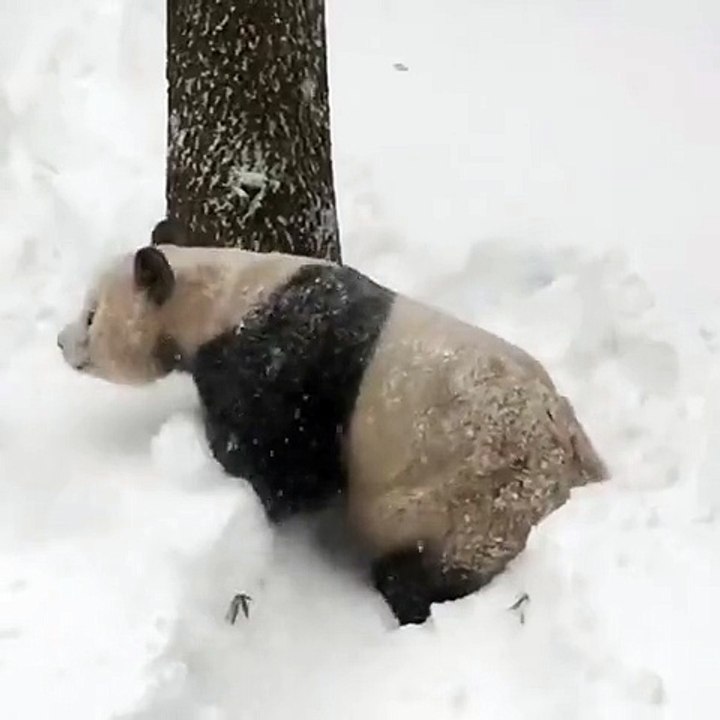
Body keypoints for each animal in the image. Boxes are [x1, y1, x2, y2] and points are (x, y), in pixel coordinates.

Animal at [57, 221, 607, 625]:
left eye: (91, 315)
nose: (62, 342)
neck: (219, 295)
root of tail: (577, 471)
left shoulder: (282, 363)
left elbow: (279, 461)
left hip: (474, 499)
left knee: (428, 566)